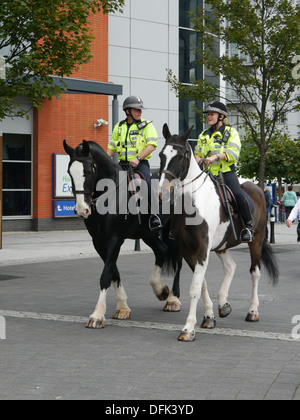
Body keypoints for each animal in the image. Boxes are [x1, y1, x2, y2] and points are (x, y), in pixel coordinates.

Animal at [62, 139, 183, 330]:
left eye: (88, 171)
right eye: (69, 172)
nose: (82, 210)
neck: (109, 193)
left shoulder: (114, 239)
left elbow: (105, 276)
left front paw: (97, 315)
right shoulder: (99, 242)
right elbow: (113, 273)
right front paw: (123, 308)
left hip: (173, 232)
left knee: (178, 260)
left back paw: (173, 299)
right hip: (147, 233)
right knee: (162, 251)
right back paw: (160, 289)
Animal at [158, 124, 278, 342]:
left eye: (179, 156)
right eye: (161, 155)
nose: (162, 191)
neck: (192, 203)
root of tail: (256, 188)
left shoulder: (202, 250)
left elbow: (195, 288)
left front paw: (188, 329)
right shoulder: (188, 251)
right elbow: (202, 284)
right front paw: (208, 317)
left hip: (255, 241)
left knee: (255, 273)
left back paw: (253, 311)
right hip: (222, 245)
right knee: (231, 267)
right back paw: (224, 305)